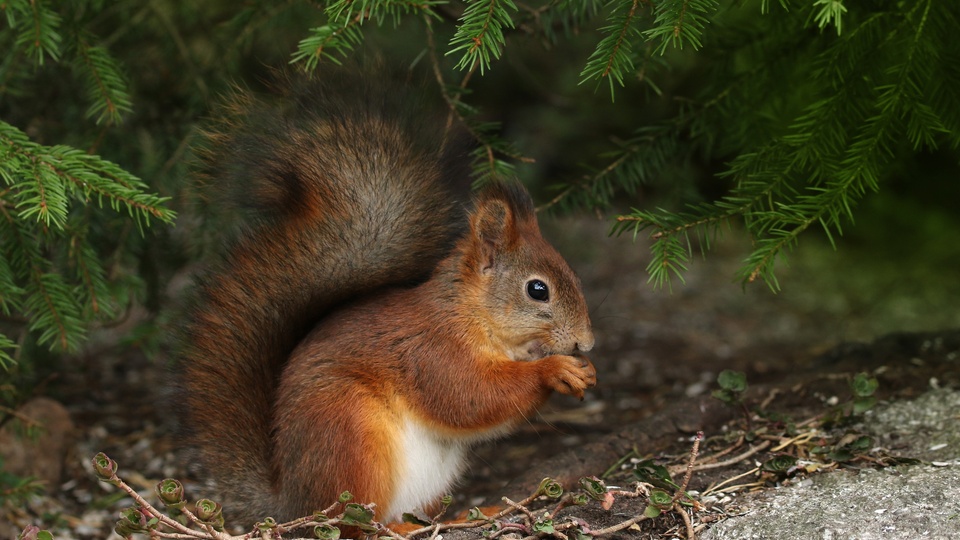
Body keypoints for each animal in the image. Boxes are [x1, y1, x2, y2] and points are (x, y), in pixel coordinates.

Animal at [179, 69, 596, 524]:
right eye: (538, 290)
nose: (587, 342)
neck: (472, 315)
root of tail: (292, 501)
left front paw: (583, 370)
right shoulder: (430, 352)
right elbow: (469, 397)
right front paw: (554, 369)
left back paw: (462, 516)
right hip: (350, 434)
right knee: (354, 523)